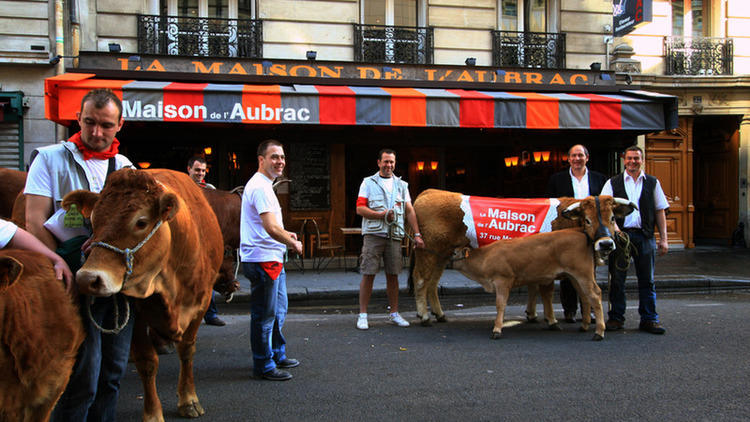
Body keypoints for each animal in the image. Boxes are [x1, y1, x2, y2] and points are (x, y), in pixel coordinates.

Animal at [63, 169, 223, 422]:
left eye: (141, 222)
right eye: (93, 221)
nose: (87, 278)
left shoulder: (202, 301)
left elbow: (187, 350)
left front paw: (189, 399)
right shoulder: (136, 313)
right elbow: (147, 362)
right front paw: (153, 413)